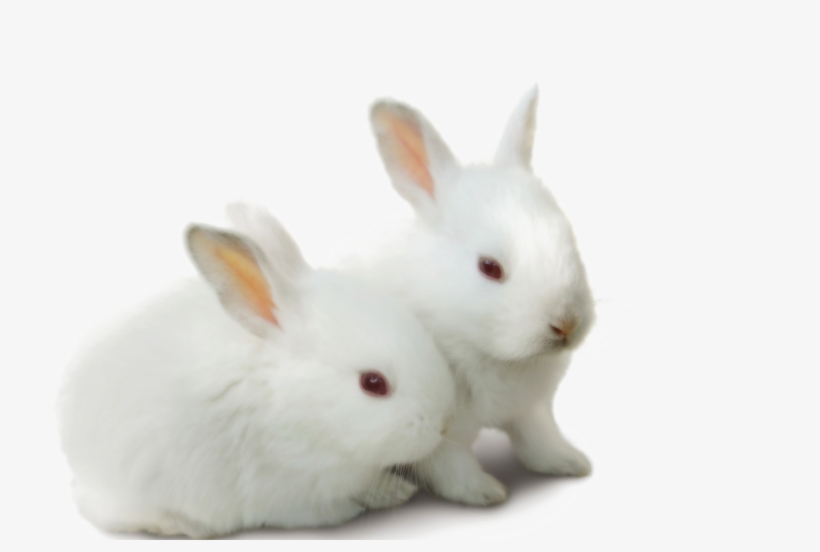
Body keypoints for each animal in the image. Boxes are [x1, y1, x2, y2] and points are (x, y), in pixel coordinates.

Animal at [347, 87, 596, 506]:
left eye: (570, 241)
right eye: (489, 267)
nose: (565, 324)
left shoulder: (531, 409)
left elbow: (539, 441)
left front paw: (570, 463)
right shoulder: (441, 433)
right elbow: (452, 468)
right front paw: (486, 493)